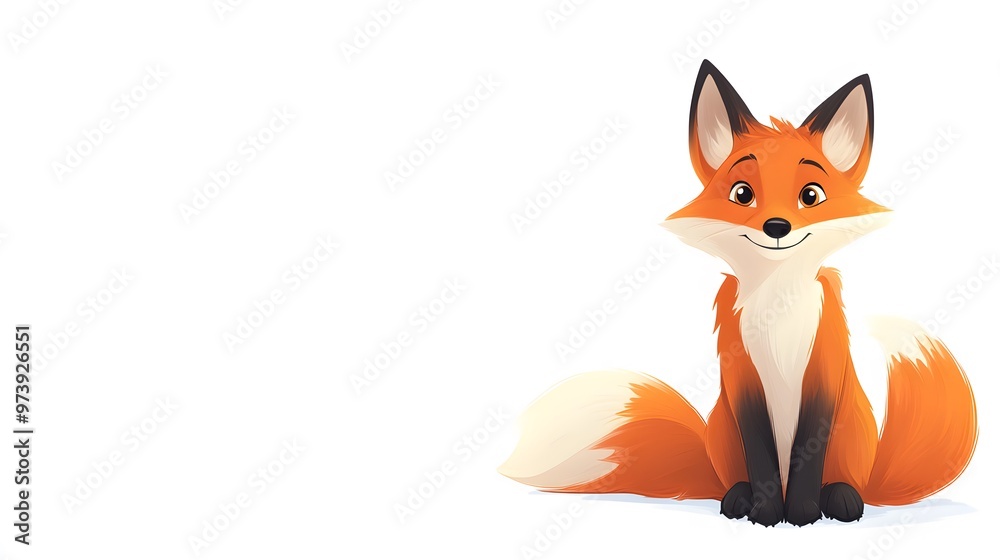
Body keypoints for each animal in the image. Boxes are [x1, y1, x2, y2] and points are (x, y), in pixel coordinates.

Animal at [498, 60, 978, 526]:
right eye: (742, 193)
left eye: (811, 195)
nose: (777, 227)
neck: (778, 305)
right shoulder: (741, 376)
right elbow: (760, 450)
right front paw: (767, 512)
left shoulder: (823, 371)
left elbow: (808, 452)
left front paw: (802, 513)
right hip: (723, 433)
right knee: (735, 478)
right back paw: (738, 498)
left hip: (851, 435)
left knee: (846, 481)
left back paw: (841, 498)